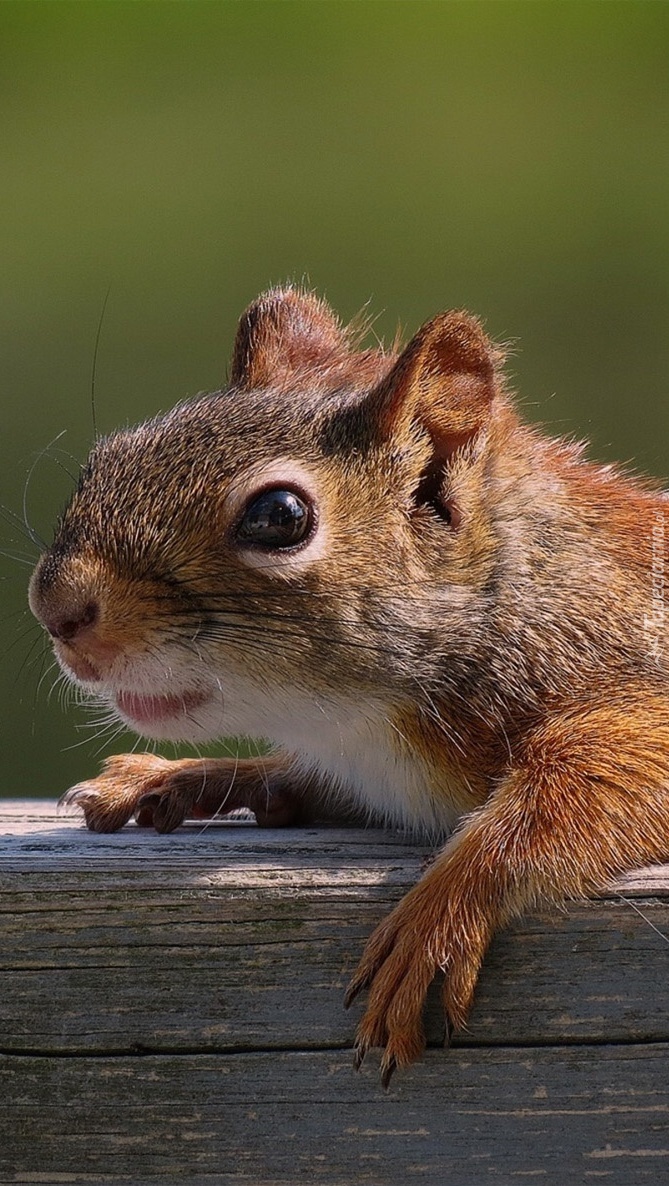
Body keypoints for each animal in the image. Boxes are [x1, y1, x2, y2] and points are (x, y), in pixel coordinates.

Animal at [28, 284, 669, 1086]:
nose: (54, 609)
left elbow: (577, 791)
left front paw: (437, 915)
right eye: (106, 457)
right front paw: (176, 778)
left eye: (278, 517)